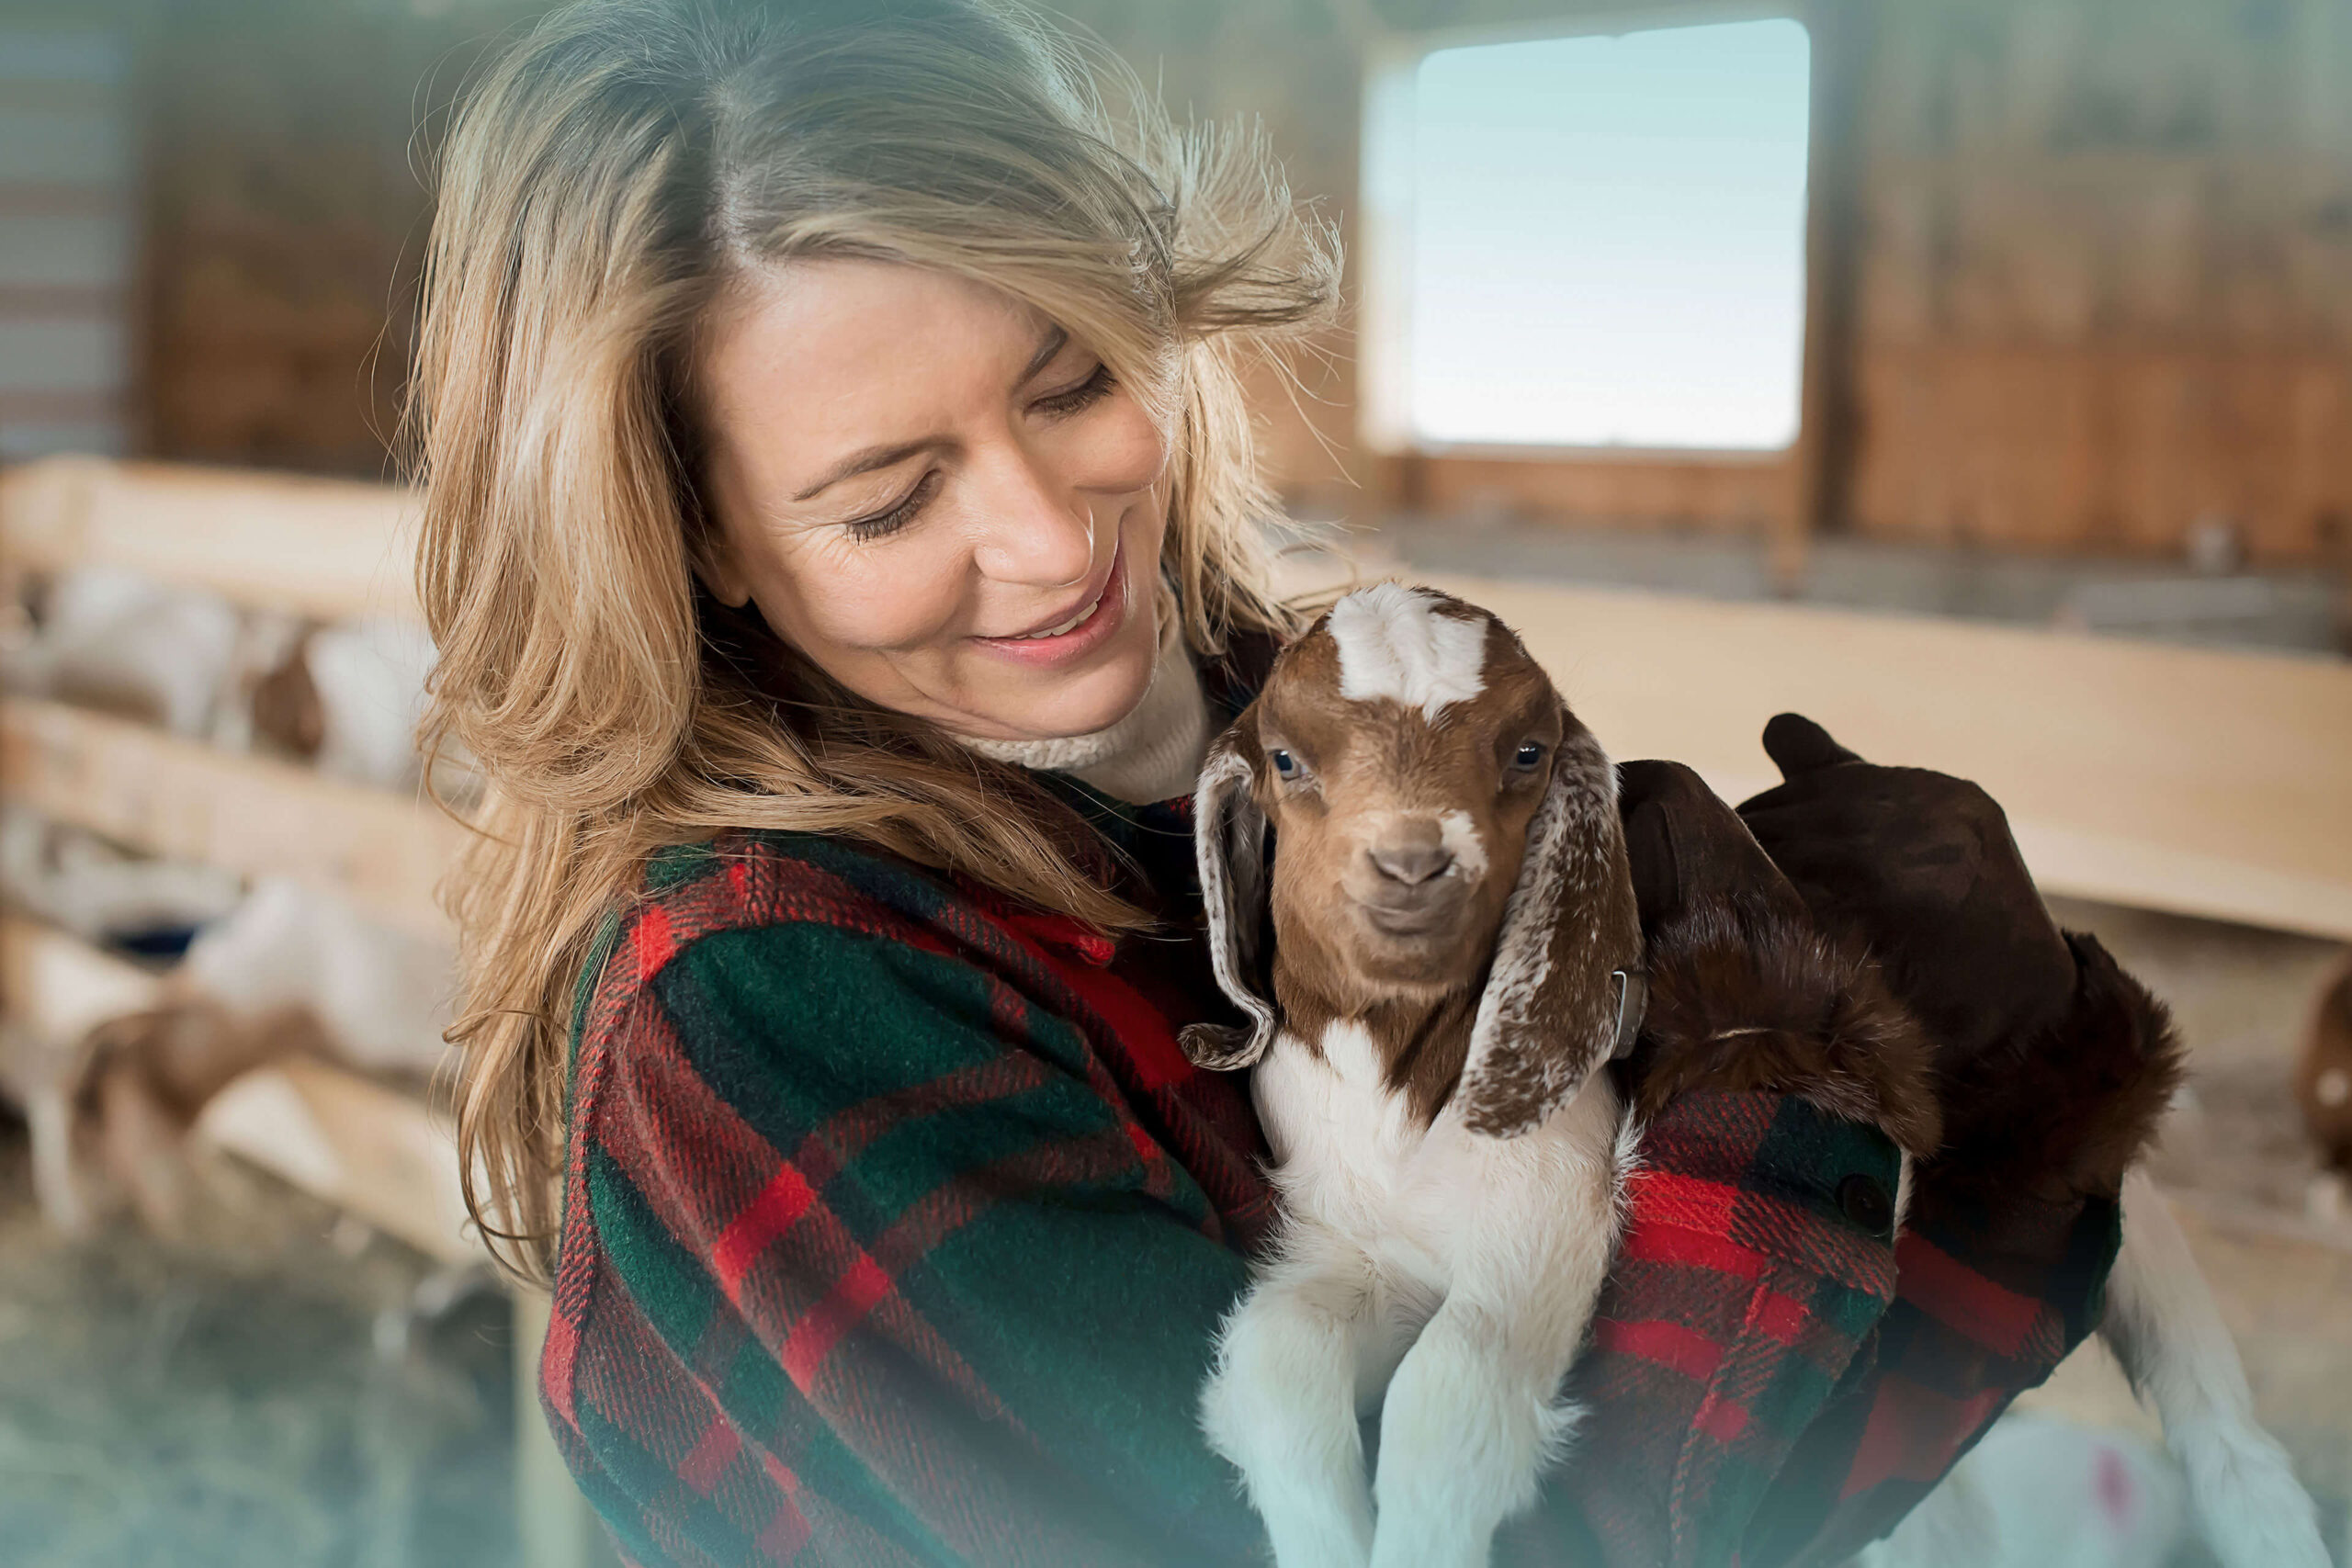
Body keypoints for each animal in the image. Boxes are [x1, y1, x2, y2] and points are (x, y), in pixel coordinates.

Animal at [1185, 587, 1646, 1568]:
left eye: (1527, 751)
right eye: (1286, 758)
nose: (1411, 866)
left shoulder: (1546, 1213)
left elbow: (1452, 1387)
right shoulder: (1358, 1243)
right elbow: (1284, 1353)